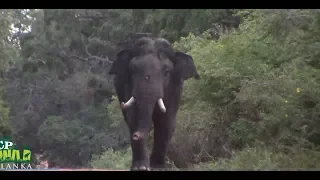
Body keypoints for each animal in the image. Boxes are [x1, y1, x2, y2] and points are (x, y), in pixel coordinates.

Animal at [109, 37, 199, 172]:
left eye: (166, 72)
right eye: (132, 70)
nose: (135, 136)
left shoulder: (175, 88)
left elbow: (166, 121)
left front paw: (158, 168)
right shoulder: (127, 85)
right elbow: (134, 117)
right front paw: (140, 167)